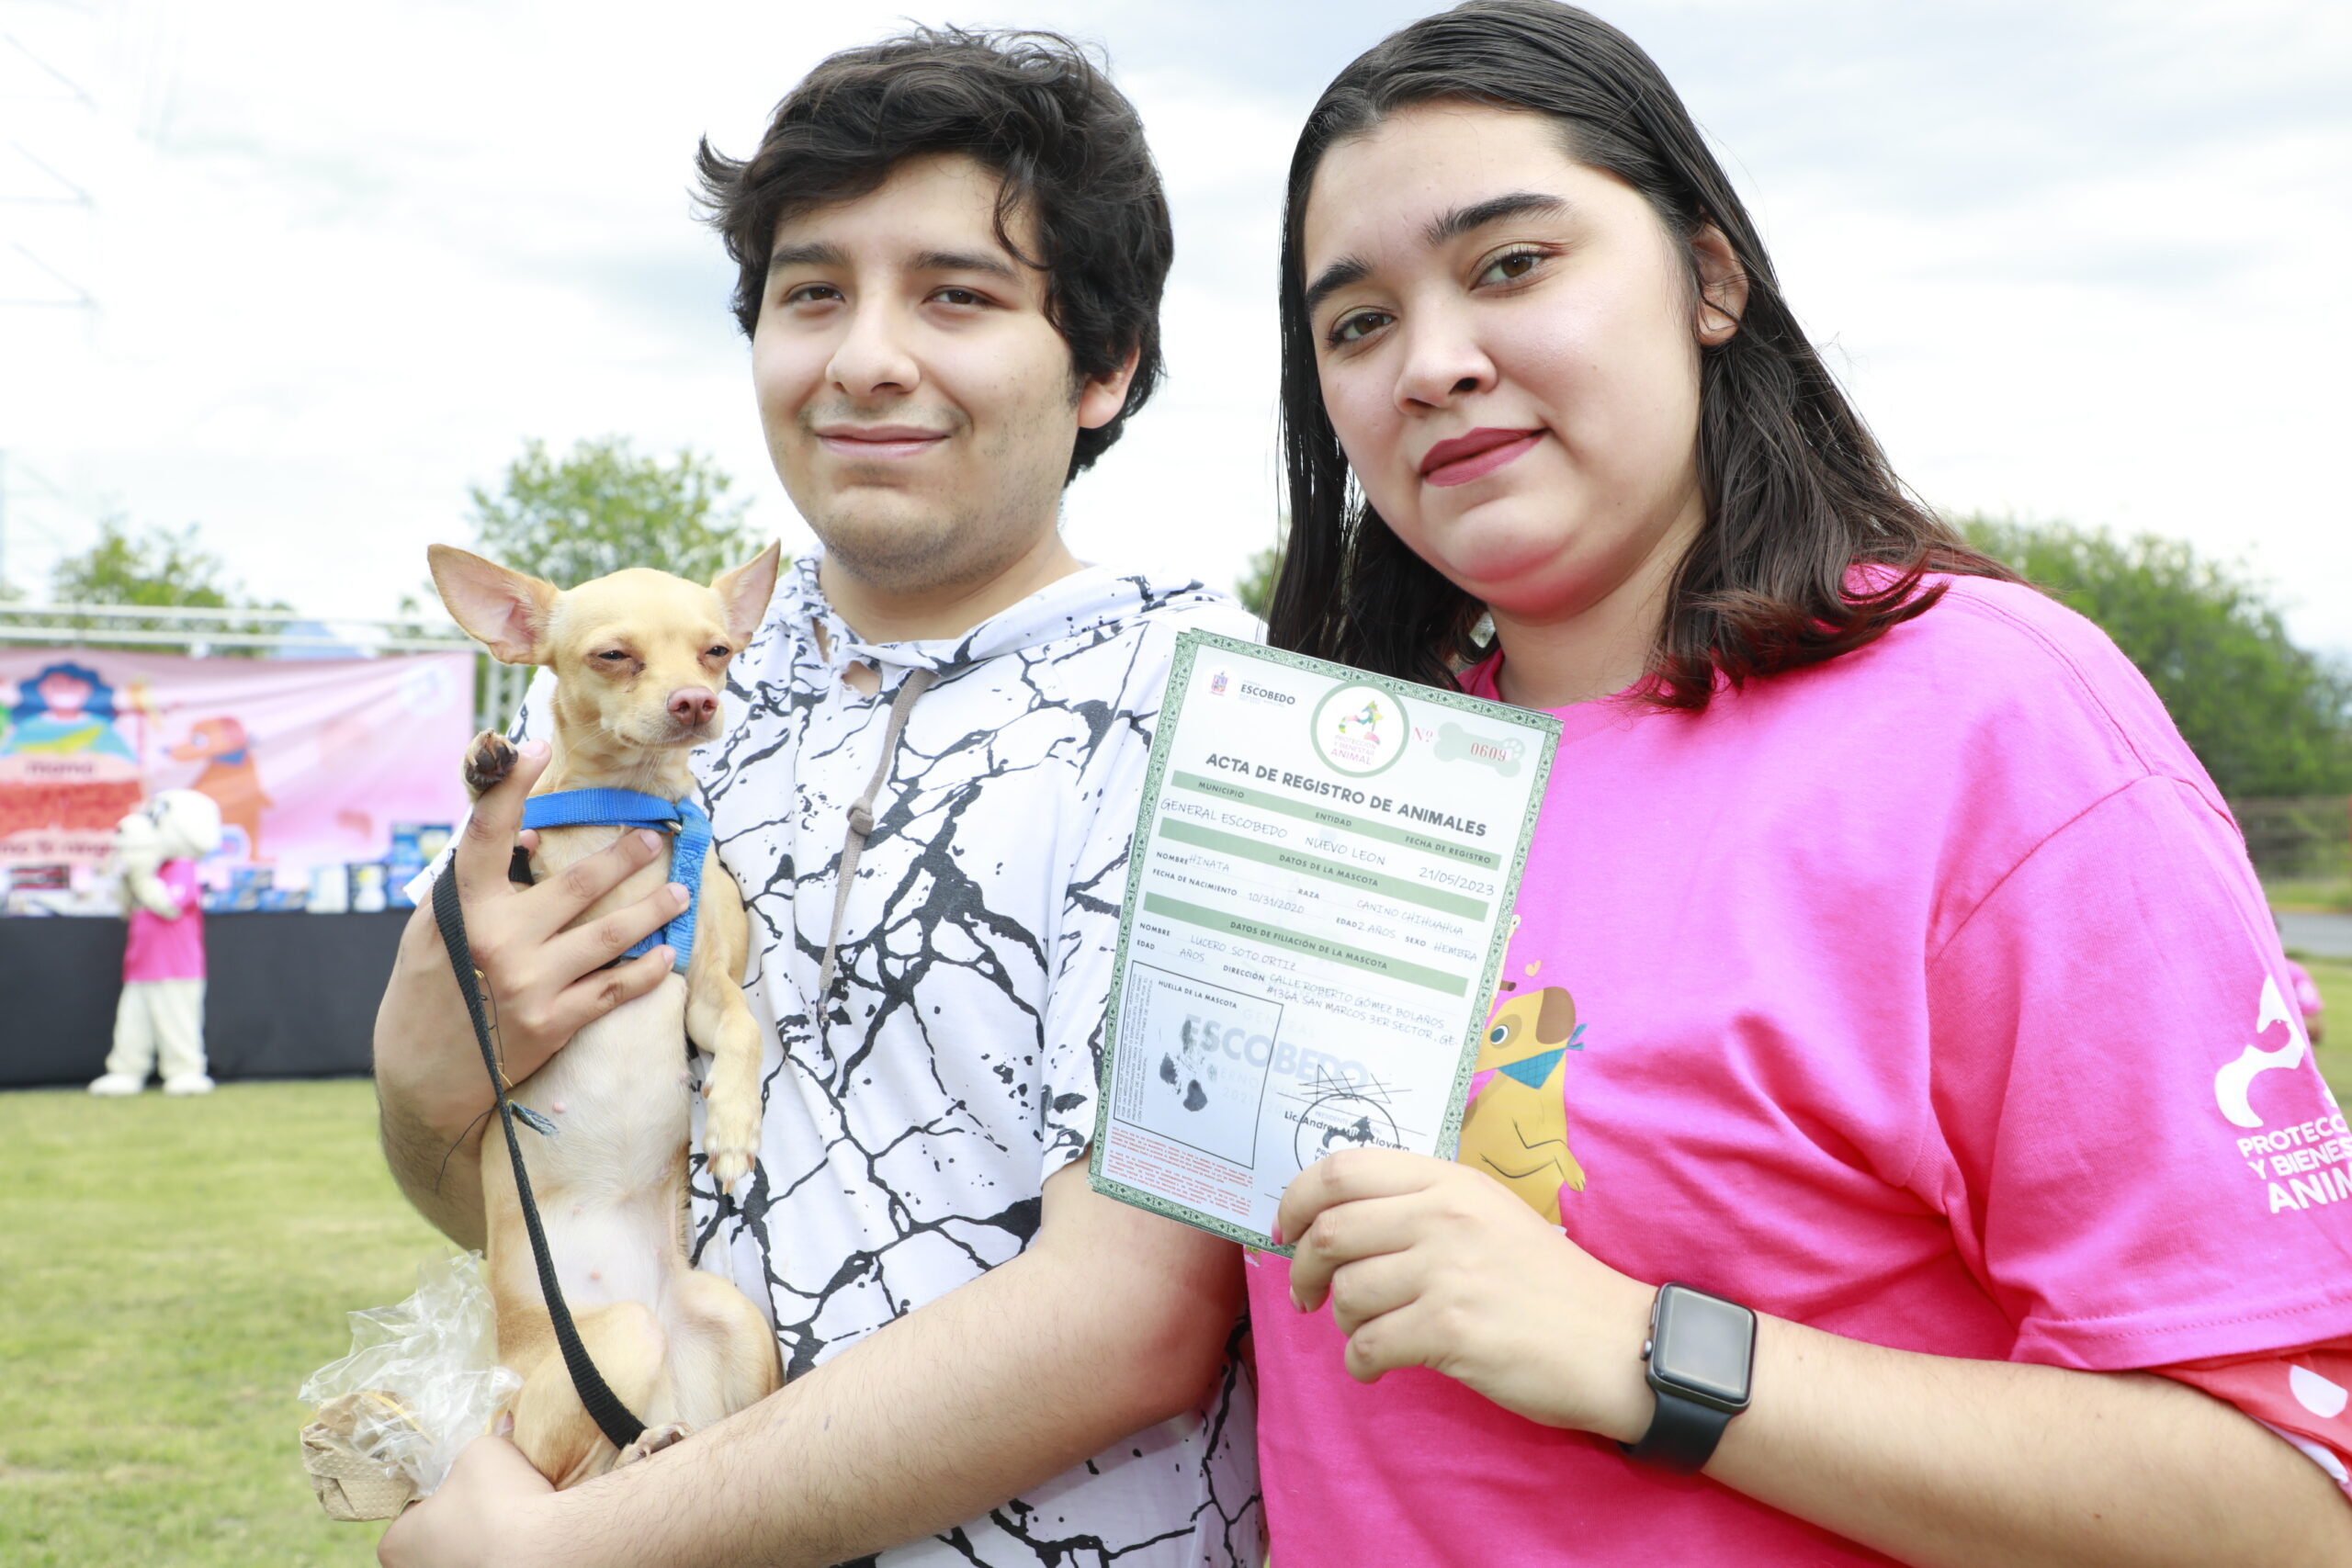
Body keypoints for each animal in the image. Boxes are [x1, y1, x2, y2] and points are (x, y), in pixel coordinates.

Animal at [427, 545, 786, 1495]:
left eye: (717, 652)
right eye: (613, 656)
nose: (695, 701)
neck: (626, 806)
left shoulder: (704, 990)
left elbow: (744, 1029)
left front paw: (733, 1129)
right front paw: (486, 765)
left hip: (732, 1323)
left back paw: (664, 1441)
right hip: (611, 1346)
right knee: (567, 1476)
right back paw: (638, 1445)